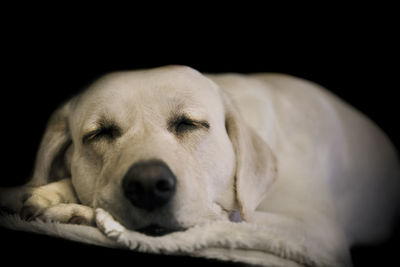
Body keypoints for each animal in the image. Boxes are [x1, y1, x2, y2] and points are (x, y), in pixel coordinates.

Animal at [0, 65, 400, 266]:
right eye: (100, 133)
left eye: (189, 124)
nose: (148, 185)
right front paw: (43, 195)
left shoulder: (314, 231)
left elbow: (232, 220)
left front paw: (77, 213)